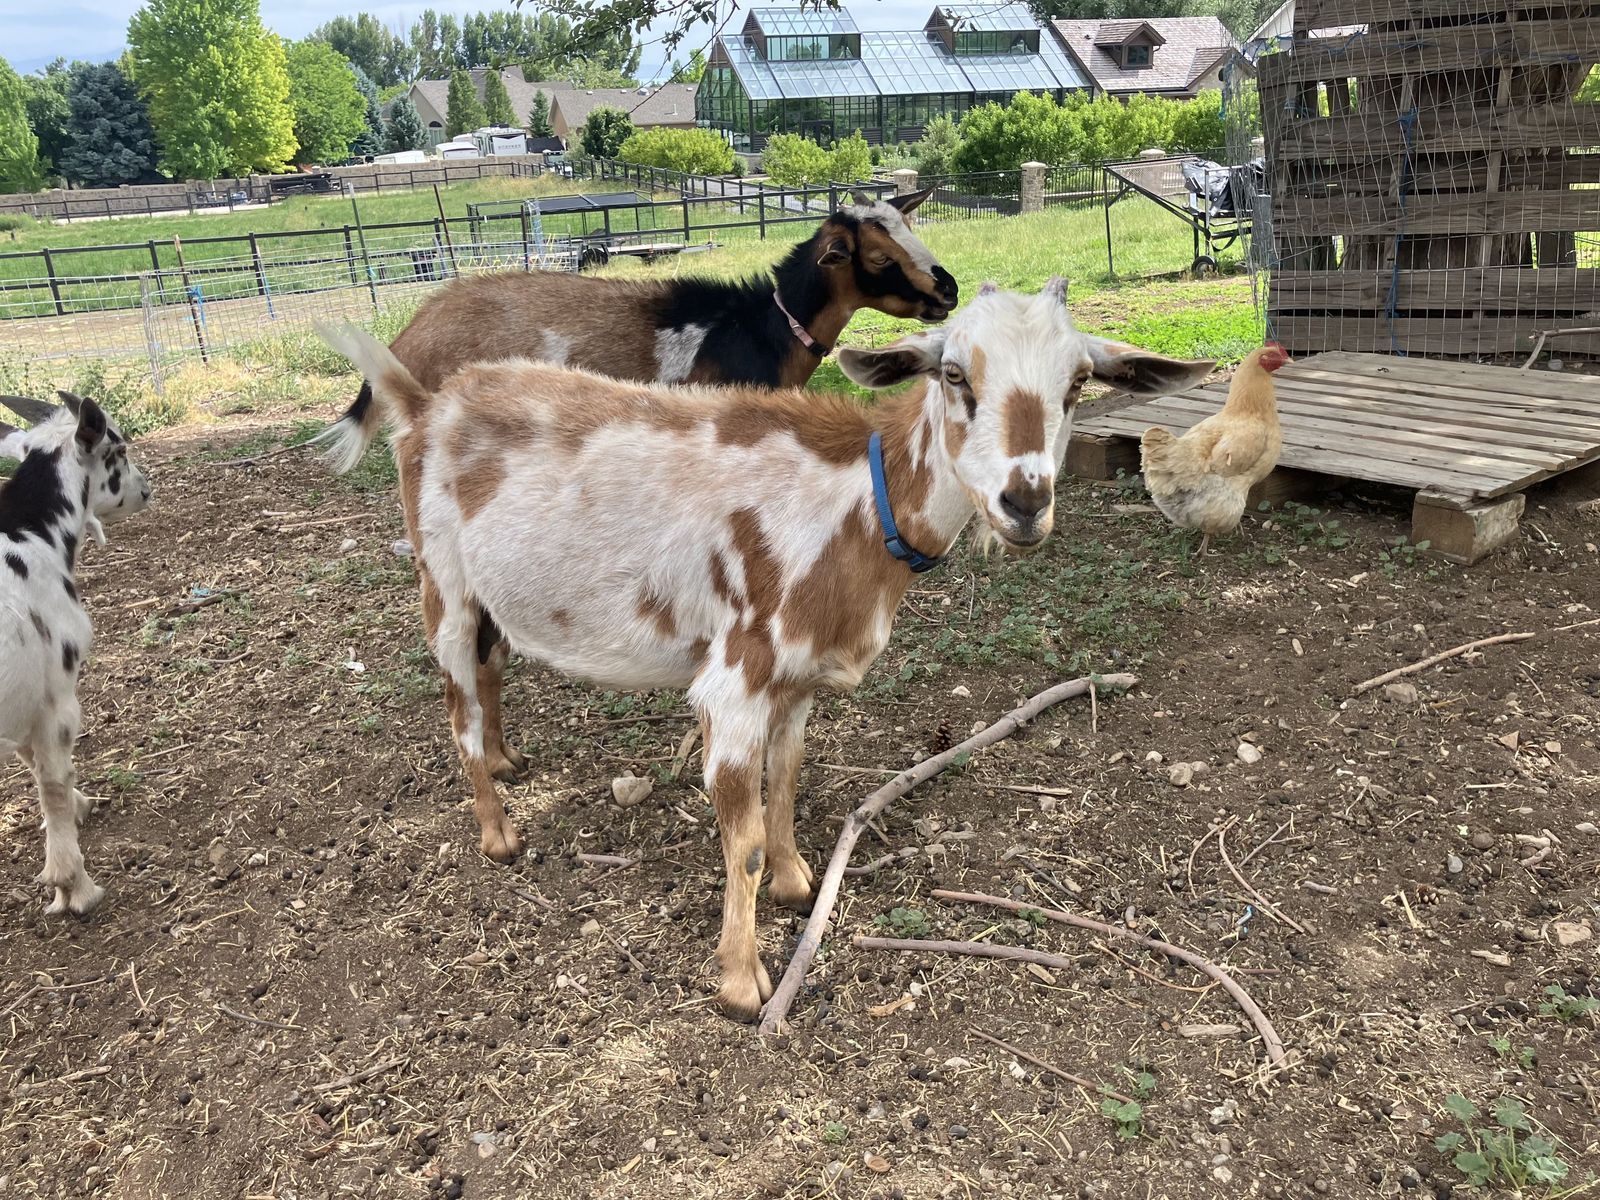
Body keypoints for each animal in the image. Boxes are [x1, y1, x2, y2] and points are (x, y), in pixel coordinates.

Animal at [0, 392, 151, 915]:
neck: (32, 536)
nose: (146, 490)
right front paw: (74, 886)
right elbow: (52, 780)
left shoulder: (24, 697)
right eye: (119, 448)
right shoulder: (56, 693)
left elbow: (33, 762)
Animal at [318, 281, 1213, 1019]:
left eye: (1078, 384)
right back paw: (497, 830)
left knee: (492, 667)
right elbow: (740, 838)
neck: (861, 502)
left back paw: (509, 763)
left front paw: (794, 882)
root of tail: (426, 402)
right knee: (457, 698)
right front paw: (741, 982)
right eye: (955, 374)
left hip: (493, 596)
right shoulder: (737, 678)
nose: (1023, 502)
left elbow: (786, 782)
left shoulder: (798, 675)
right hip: (441, 576)